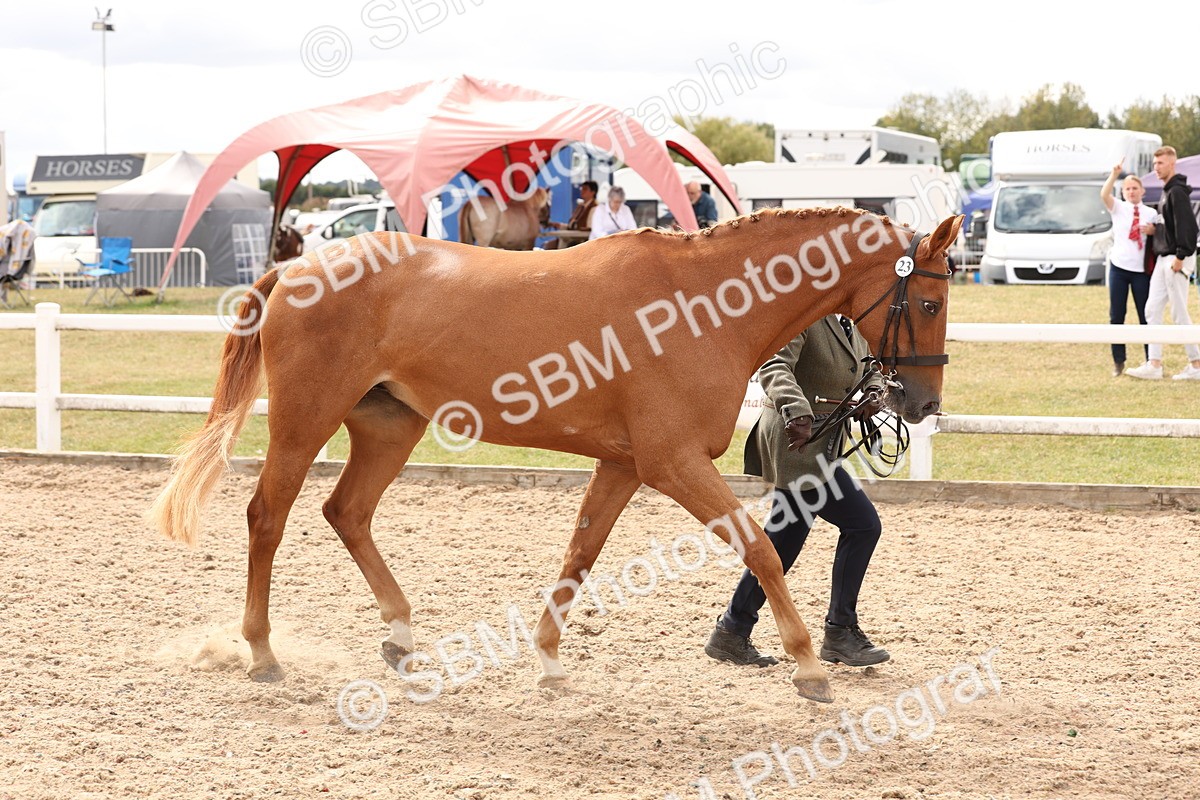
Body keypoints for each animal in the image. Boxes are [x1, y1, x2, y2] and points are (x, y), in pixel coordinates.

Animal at [150, 207, 962, 704]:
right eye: (927, 303)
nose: (922, 405)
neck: (700, 305)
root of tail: (294, 269)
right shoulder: (673, 464)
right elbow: (760, 549)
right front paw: (808, 666)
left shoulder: (625, 465)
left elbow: (581, 554)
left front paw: (547, 661)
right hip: (305, 421)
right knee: (268, 517)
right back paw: (262, 653)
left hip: (388, 426)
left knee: (345, 511)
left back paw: (402, 637)